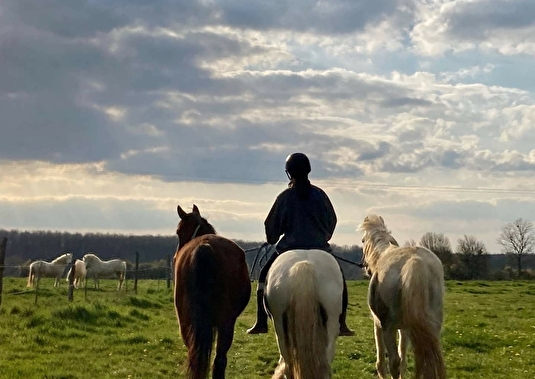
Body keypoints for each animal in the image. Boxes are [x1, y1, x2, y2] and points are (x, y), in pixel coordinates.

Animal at [360, 217, 448, 379]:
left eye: (363, 240)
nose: (366, 268)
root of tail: (415, 261)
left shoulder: (378, 324)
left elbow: (382, 362)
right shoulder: (407, 328)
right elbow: (404, 360)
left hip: (389, 328)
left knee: (394, 362)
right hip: (432, 325)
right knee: (422, 360)